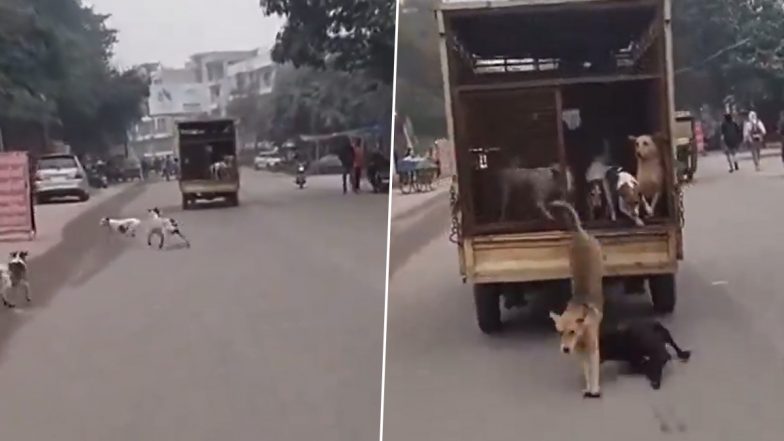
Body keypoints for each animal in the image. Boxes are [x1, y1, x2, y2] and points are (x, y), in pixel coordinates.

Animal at [548, 201, 604, 398]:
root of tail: (579, 233)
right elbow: (586, 370)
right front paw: (588, 387)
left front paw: (594, 388)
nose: (565, 350)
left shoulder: (593, 349)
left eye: (571, 331)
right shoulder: (579, 353)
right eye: (559, 332)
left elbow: (594, 371)